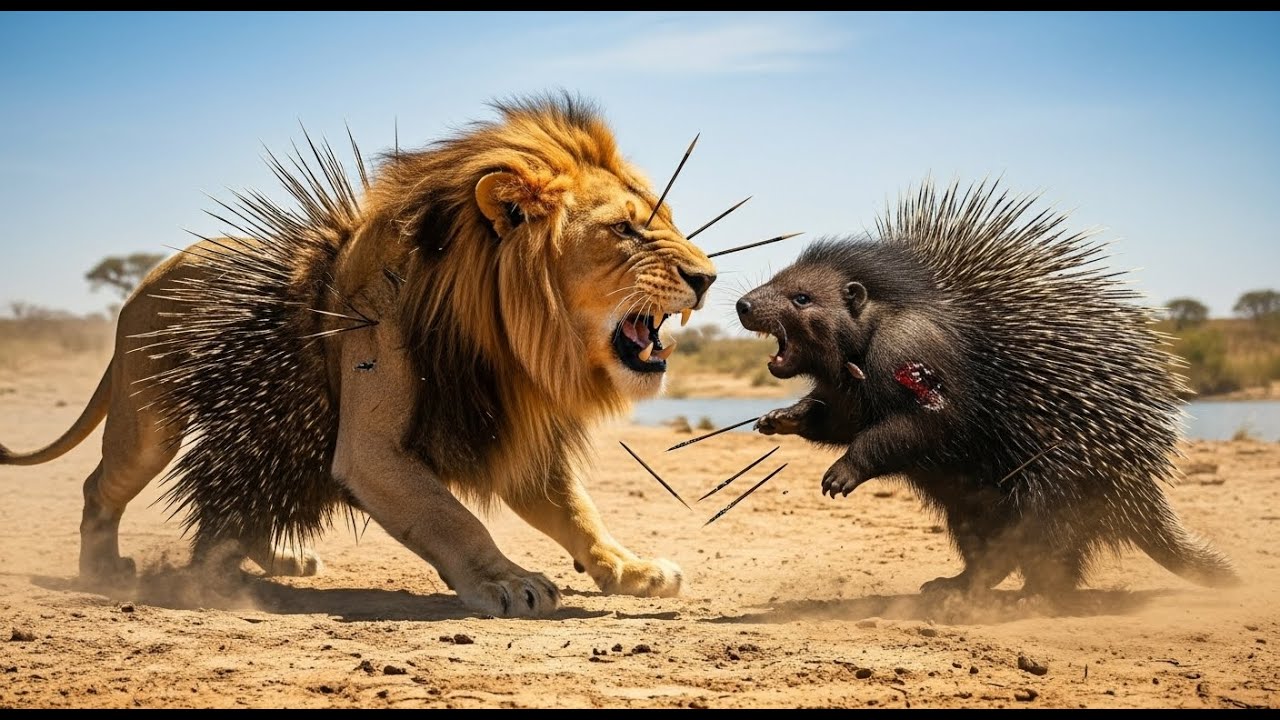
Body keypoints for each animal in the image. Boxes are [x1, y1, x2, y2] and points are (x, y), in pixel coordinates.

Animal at [0, 94, 718, 617]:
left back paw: (276, 560)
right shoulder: (372, 450)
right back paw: (104, 571)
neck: (507, 343)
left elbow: (577, 513)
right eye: (625, 230)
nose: (707, 278)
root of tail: (147, 279)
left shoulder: (512, 438)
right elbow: (452, 518)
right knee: (101, 486)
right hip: (148, 425)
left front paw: (631, 568)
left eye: (668, 222)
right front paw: (507, 581)